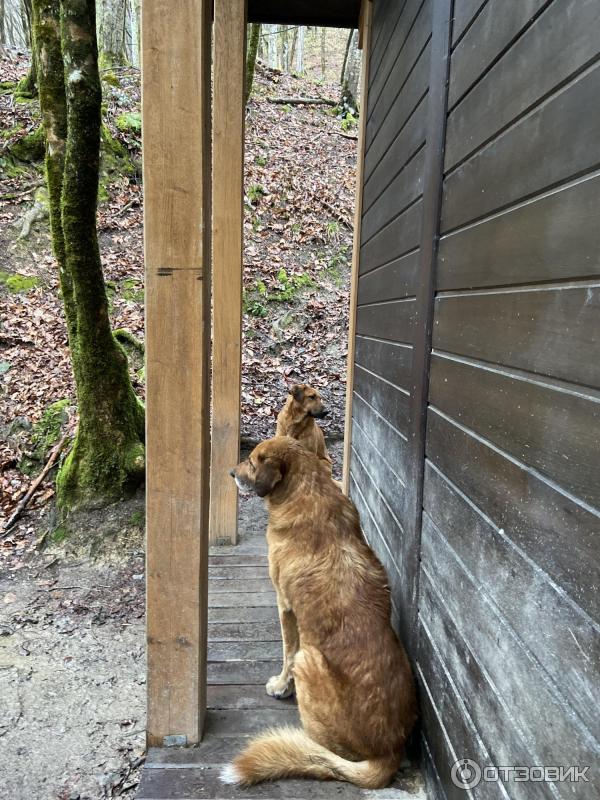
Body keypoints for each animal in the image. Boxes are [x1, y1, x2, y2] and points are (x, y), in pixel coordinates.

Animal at [225, 438, 418, 788]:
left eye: (254, 461)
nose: (232, 472)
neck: (307, 489)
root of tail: (389, 753)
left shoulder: (285, 606)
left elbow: (287, 651)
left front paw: (280, 686)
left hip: (309, 659)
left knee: (324, 747)